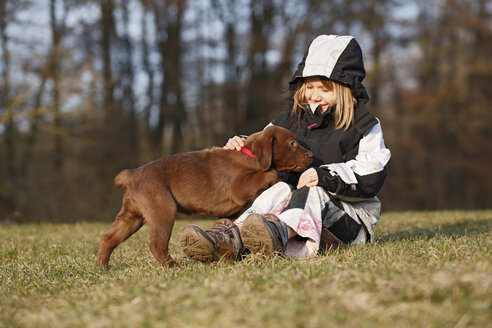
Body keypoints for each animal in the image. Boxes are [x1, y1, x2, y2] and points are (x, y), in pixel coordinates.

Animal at [97, 125, 312, 266]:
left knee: (108, 238)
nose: (310, 155)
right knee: (156, 245)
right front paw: (279, 176)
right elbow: (269, 173)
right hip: (162, 210)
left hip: (132, 216)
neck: (250, 155)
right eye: (292, 143)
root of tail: (132, 175)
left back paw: (102, 268)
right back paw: (174, 267)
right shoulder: (240, 188)